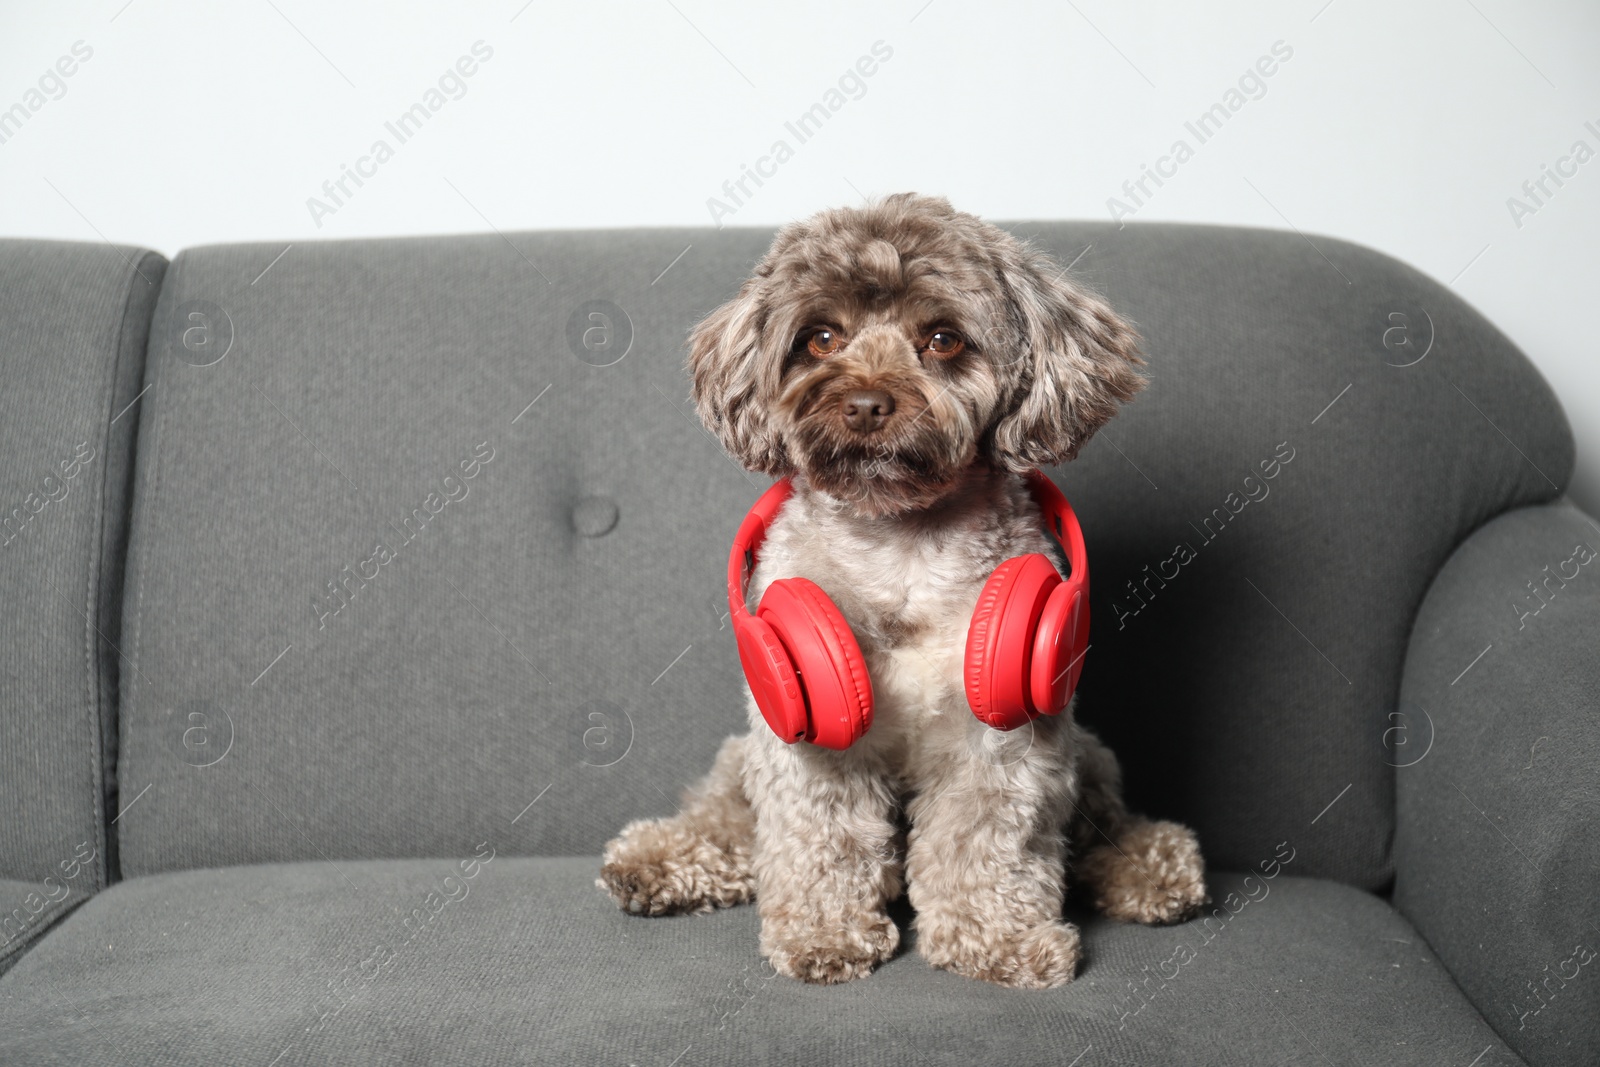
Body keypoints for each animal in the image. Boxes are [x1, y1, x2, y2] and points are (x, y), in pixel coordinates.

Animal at [598, 195, 1203, 991]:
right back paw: (656, 859)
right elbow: (822, 836)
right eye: (820, 337)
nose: (864, 403)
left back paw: (1150, 869)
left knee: (1106, 819)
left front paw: (997, 939)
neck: (900, 549)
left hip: (1086, 751)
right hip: (746, 751)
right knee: (725, 815)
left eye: (943, 338)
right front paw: (825, 933)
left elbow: (988, 842)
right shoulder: (811, 735)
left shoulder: (1002, 734)